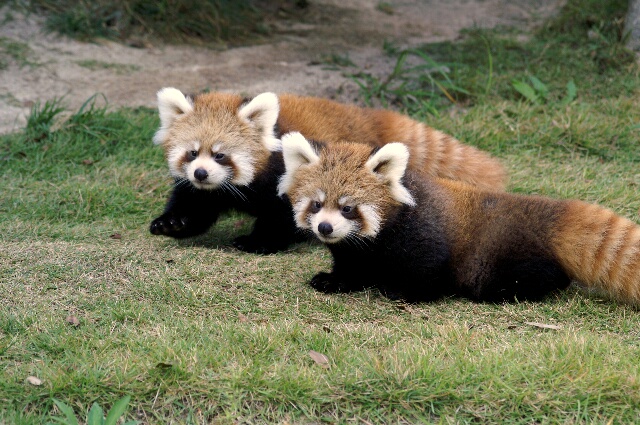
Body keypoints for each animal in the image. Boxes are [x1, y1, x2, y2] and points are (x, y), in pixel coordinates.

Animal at [150, 86, 504, 252]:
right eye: (192, 153)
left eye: (221, 155)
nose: (201, 173)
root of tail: (364, 116)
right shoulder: (204, 192)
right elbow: (194, 205)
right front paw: (172, 223)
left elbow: (283, 216)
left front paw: (258, 242)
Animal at [278, 131, 640, 304]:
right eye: (316, 205)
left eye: (348, 208)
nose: (325, 228)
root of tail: (544, 212)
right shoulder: (355, 251)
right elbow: (352, 268)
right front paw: (333, 281)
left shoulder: (422, 233)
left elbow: (428, 270)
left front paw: (405, 292)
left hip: (502, 251)